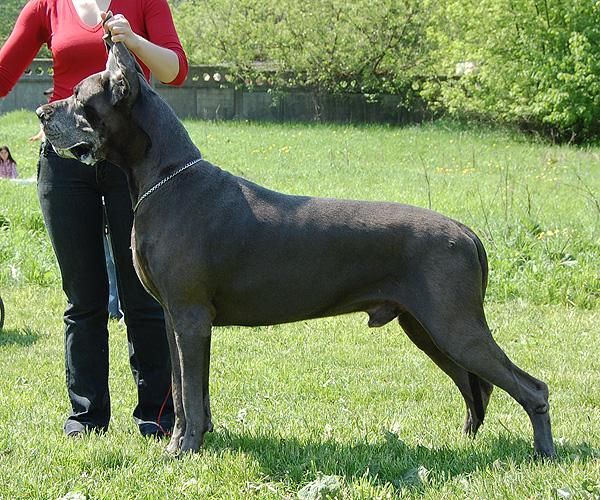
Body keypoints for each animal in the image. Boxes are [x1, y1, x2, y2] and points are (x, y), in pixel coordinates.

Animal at [36, 39, 555, 458]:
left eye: (80, 98)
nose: (42, 114)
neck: (163, 177)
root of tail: (467, 232)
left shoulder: (190, 314)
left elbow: (189, 391)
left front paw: (183, 449)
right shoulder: (174, 317)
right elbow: (186, 392)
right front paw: (188, 440)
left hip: (452, 323)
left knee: (531, 386)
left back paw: (544, 453)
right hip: (425, 325)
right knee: (477, 387)